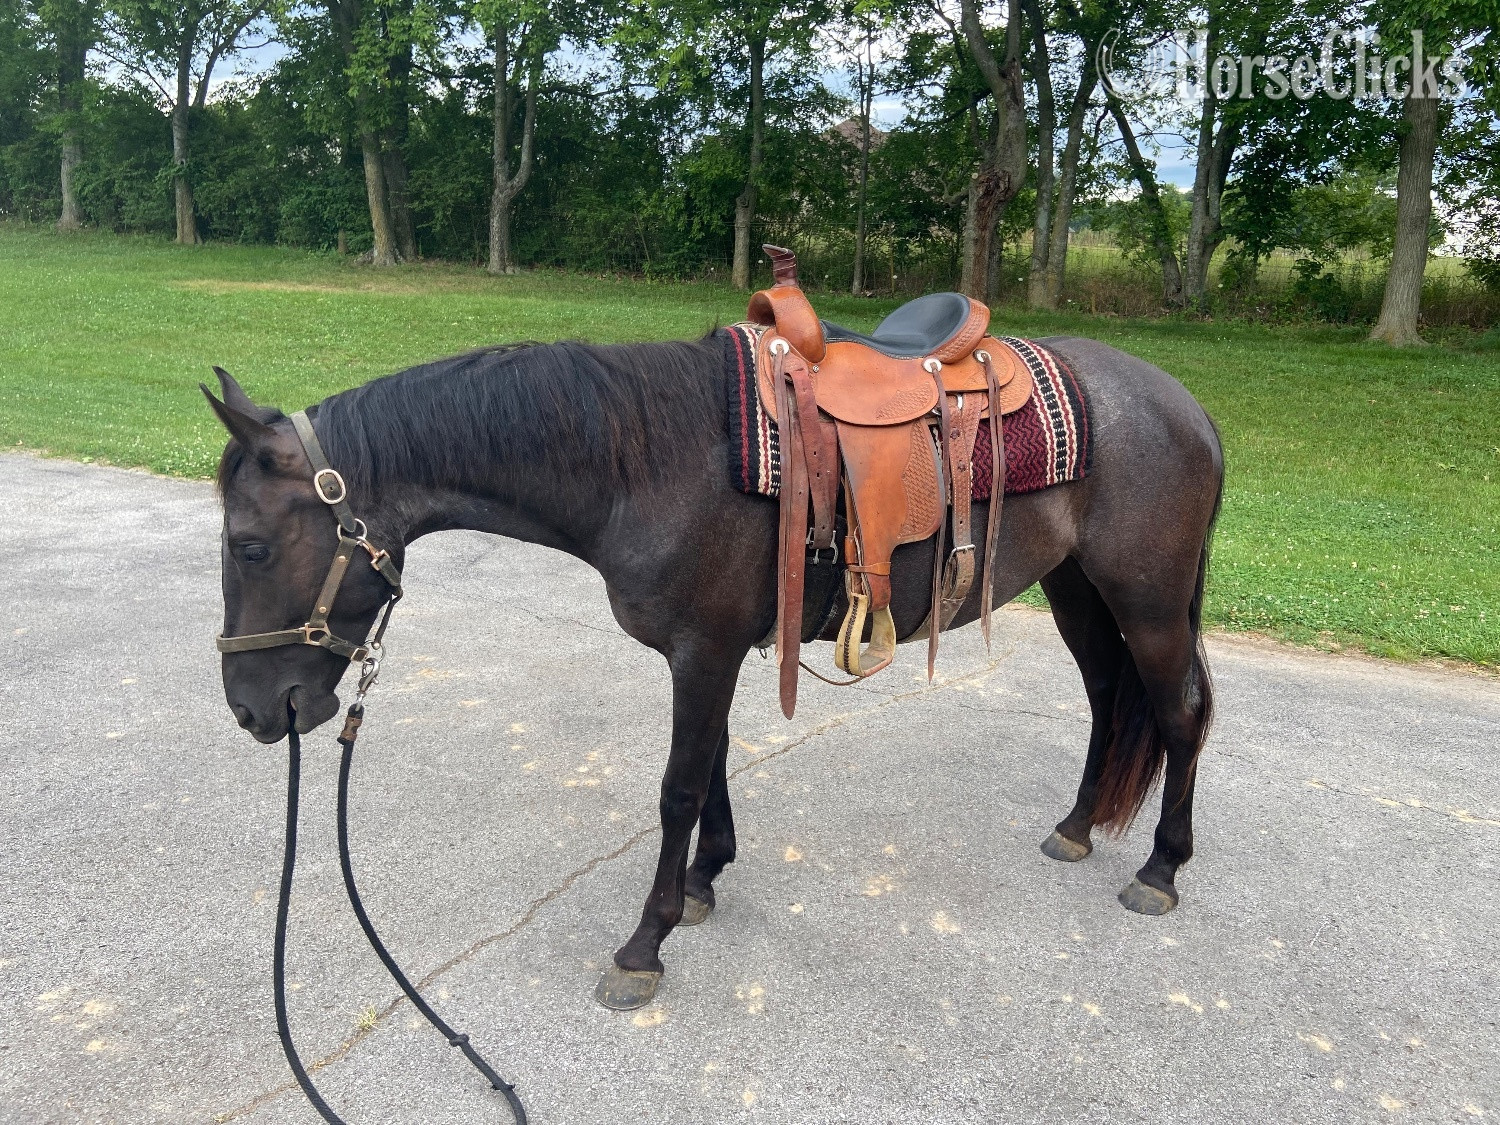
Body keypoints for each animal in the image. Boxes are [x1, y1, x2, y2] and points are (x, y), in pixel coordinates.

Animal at [206, 330, 1223, 1012]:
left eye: (250, 547)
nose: (251, 710)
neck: (645, 462)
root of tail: (1187, 404)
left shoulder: (703, 651)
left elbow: (678, 787)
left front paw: (643, 943)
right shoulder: (718, 650)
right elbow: (716, 769)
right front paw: (703, 881)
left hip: (1146, 601)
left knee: (1177, 713)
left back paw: (1162, 867)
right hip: (1079, 591)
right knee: (1109, 703)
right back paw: (1079, 826)